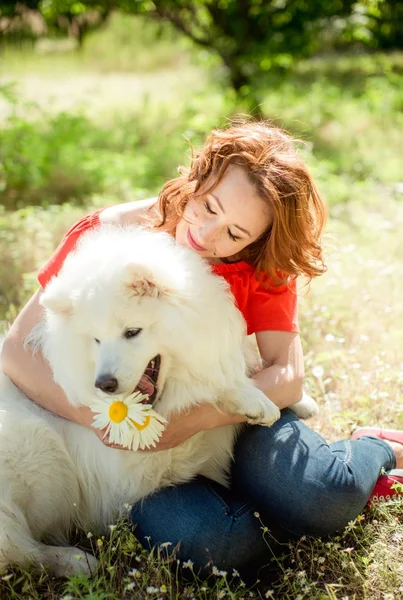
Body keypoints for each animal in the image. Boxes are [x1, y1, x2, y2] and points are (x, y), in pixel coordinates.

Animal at [0, 224, 316, 576]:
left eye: (132, 332)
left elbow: (244, 366)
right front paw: (250, 400)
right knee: (20, 549)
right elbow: (211, 389)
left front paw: (298, 400)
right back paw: (75, 561)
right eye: (96, 339)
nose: (104, 384)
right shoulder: (137, 466)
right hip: (38, 449)